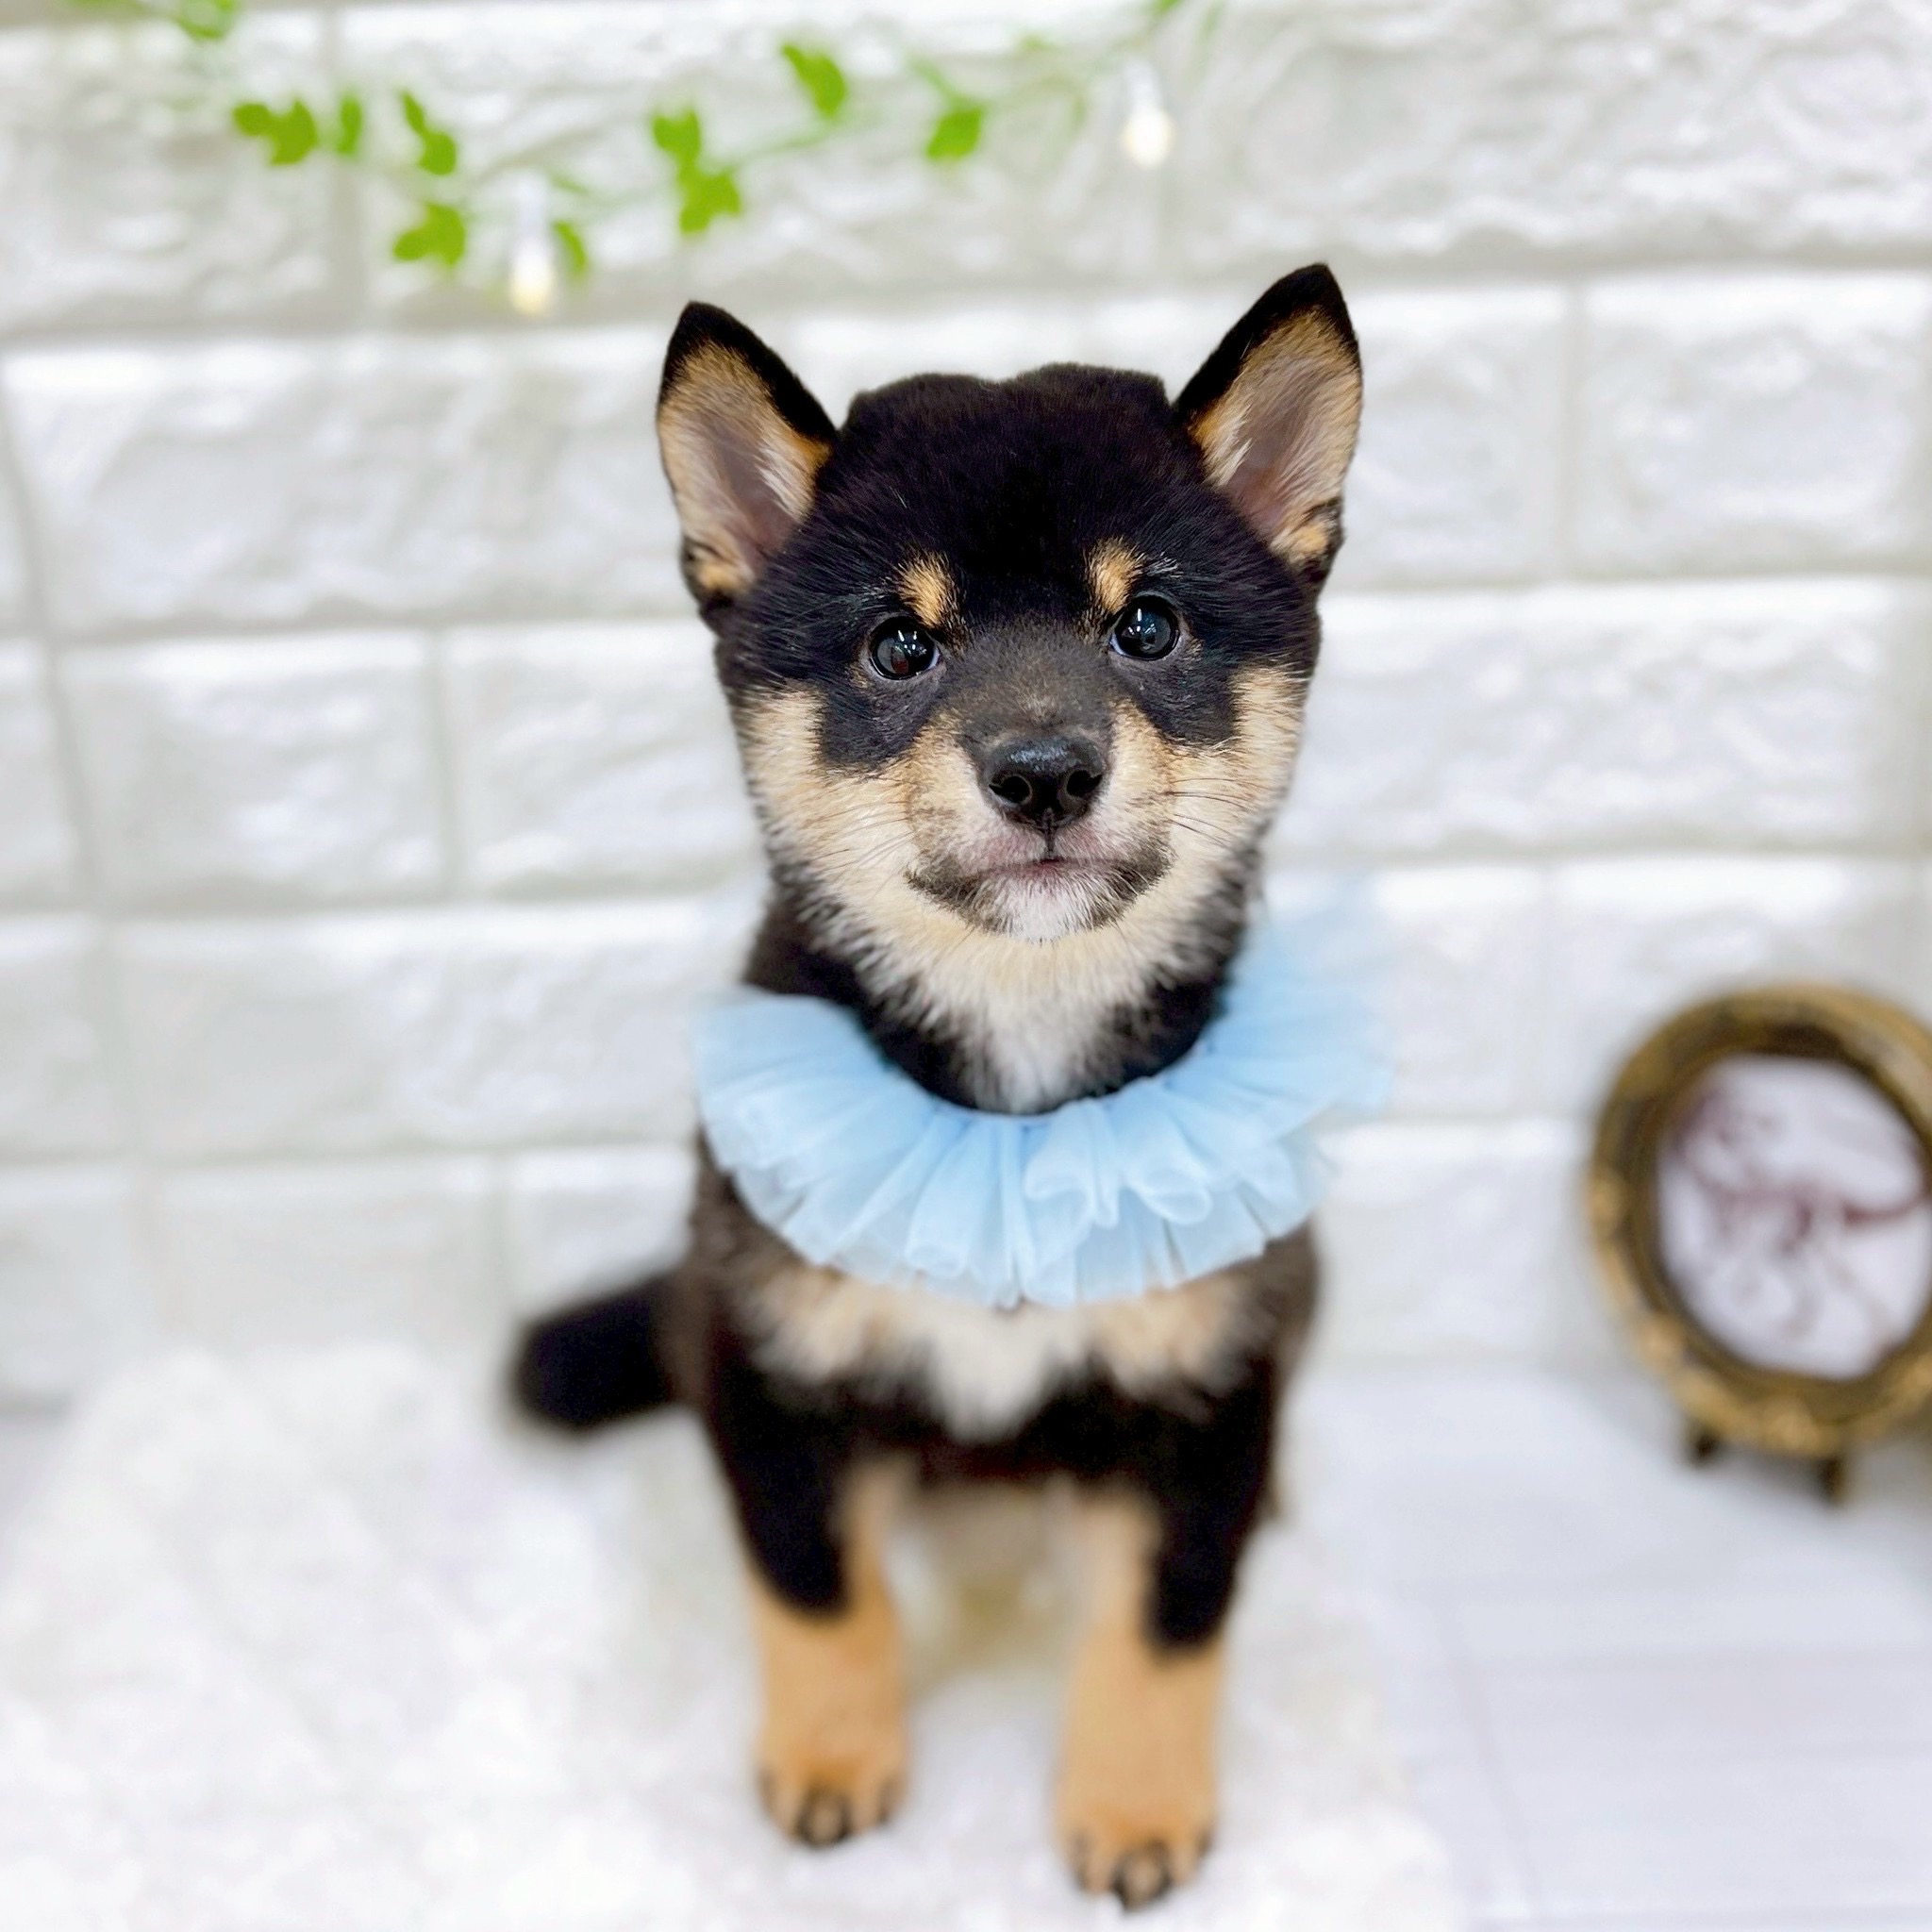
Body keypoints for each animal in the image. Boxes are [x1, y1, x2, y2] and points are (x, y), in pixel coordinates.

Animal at [513, 264, 1363, 1909]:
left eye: (1147, 626)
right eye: (899, 647)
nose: (1042, 771)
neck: (1011, 1087)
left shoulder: (1206, 1392)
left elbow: (1166, 1625)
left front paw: (1135, 1812)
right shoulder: (771, 1366)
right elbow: (818, 1593)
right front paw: (834, 1767)